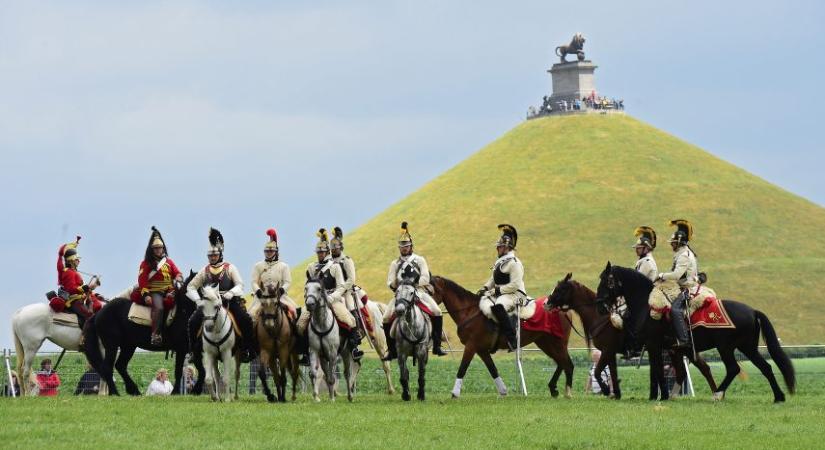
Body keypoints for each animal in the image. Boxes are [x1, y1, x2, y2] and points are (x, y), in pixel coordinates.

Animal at [432, 276, 572, 400]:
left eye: (430, 290)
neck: (469, 311)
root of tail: (561, 308)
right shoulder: (481, 350)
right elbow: (493, 369)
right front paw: (503, 391)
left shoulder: (471, 346)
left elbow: (462, 368)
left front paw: (455, 393)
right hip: (545, 343)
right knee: (562, 363)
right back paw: (554, 389)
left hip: (557, 343)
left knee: (567, 363)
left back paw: (565, 392)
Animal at [552, 272, 716, 400]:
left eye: (561, 289)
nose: (548, 303)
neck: (600, 317)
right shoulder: (610, 353)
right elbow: (612, 372)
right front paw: (616, 394)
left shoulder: (607, 351)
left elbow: (598, 372)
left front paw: (606, 390)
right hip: (677, 350)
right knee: (696, 369)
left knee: (698, 369)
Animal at [596, 262, 796, 402]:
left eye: (607, 280)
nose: (599, 305)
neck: (646, 305)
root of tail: (753, 311)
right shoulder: (666, 348)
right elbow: (665, 372)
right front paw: (661, 396)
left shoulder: (654, 345)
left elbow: (658, 372)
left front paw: (659, 396)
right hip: (748, 348)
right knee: (766, 367)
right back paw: (778, 397)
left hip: (726, 347)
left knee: (733, 368)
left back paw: (717, 394)